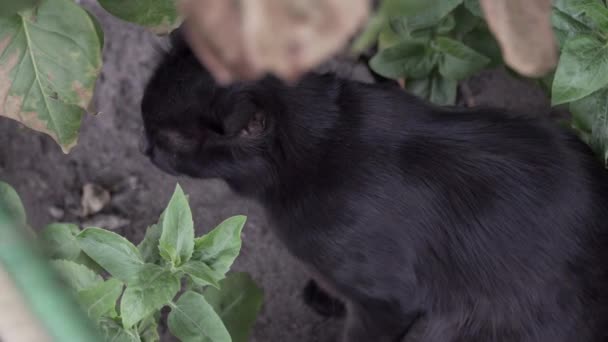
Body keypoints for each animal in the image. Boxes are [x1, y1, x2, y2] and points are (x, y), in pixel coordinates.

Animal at [141, 30, 608, 342]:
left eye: (168, 141)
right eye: (144, 121)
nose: (145, 150)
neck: (322, 145)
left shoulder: (386, 303)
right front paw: (323, 295)